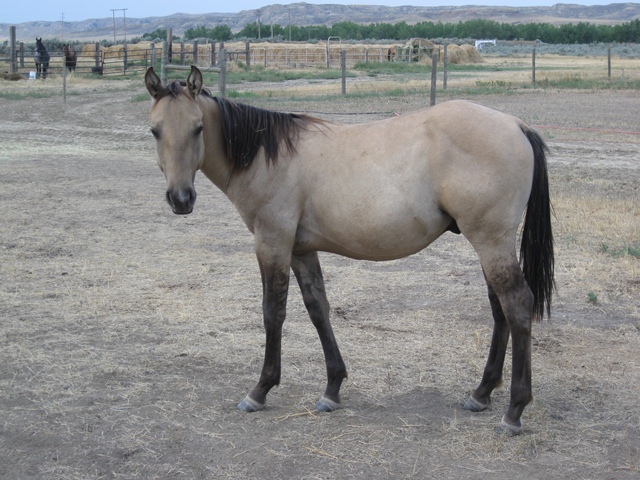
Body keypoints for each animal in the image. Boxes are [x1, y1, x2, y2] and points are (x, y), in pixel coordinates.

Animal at [144, 66, 554, 436]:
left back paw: (514, 411)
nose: (181, 199)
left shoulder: (272, 242)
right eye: (155, 130)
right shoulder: (301, 250)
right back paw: (481, 393)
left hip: (490, 240)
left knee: (517, 305)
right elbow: (318, 309)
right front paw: (332, 388)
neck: (267, 156)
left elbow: (273, 313)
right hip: (488, 244)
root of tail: (516, 124)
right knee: (500, 310)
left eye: (198, 127)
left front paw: (260, 390)